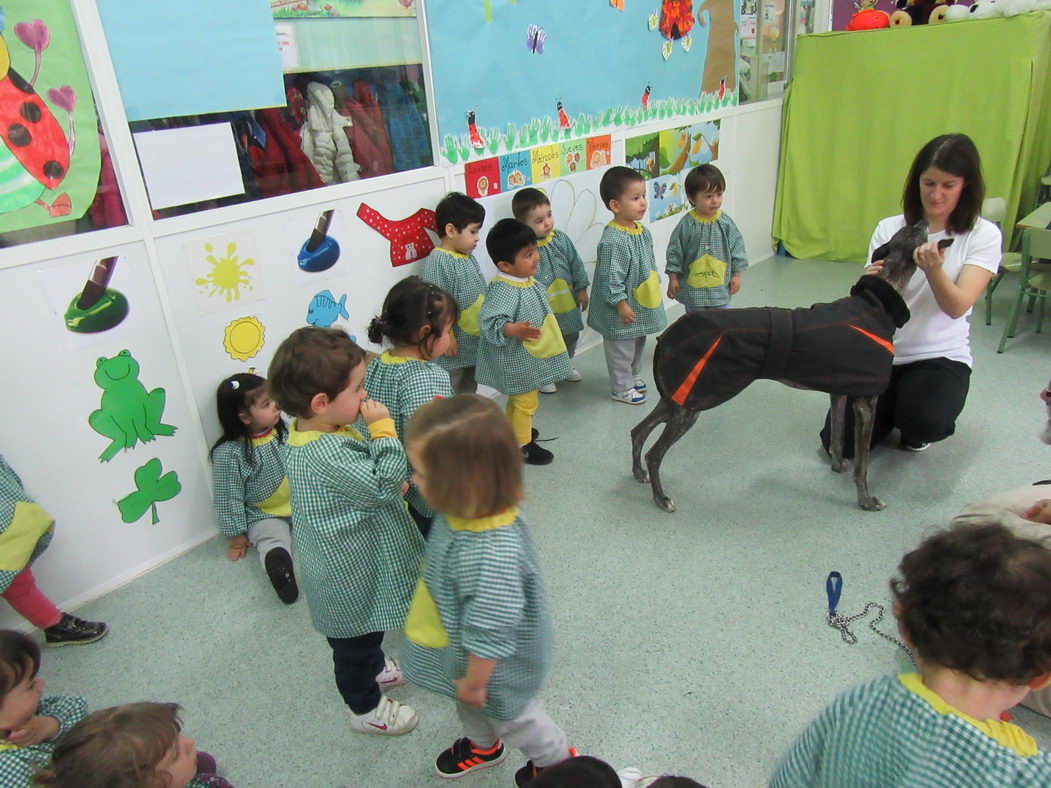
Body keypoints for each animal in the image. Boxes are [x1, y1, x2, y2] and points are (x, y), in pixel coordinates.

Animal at [630, 223, 954, 519]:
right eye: (915, 230)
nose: (926, 221)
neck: (876, 304)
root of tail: (666, 337)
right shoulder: (866, 402)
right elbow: (862, 463)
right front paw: (866, 500)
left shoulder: (839, 393)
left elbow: (838, 438)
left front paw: (837, 466)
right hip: (692, 402)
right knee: (654, 453)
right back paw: (661, 498)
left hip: (677, 398)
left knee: (637, 431)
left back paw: (638, 473)